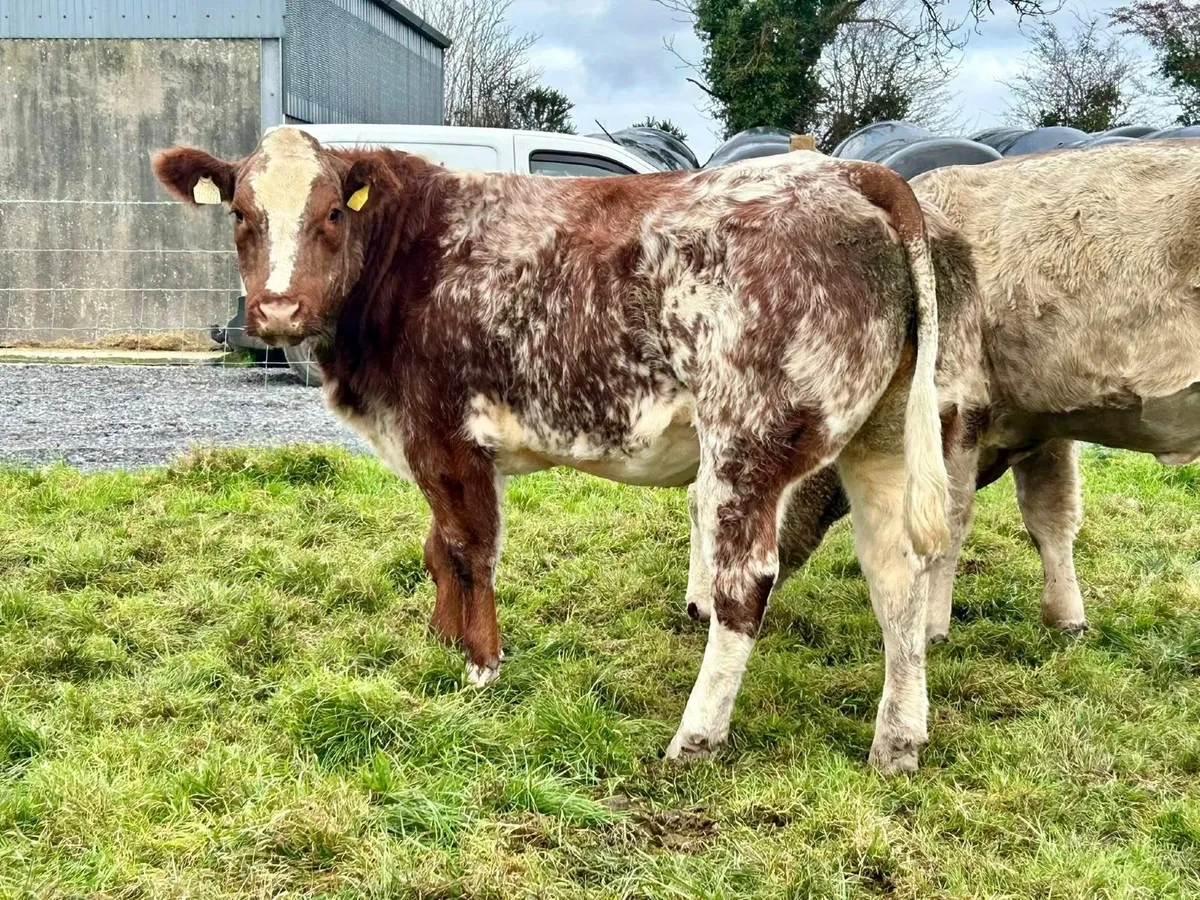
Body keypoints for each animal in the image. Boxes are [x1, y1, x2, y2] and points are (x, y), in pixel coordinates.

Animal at [152, 126, 981, 773]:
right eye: (241, 214)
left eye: (330, 212)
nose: (277, 309)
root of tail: (848, 173)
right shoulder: (437, 442)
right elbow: (437, 548)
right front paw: (441, 643)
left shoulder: (445, 431)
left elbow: (468, 548)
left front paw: (481, 667)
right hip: (882, 441)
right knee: (897, 576)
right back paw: (896, 744)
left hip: (746, 443)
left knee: (744, 587)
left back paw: (695, 739)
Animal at [686, 139, 1200, 655]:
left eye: (705, 517)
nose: (697, 610)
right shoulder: (1047, 423)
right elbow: (1051, 518)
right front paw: (1065, 615)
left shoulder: (954, 412)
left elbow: (944, 524)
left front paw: (931, 623)